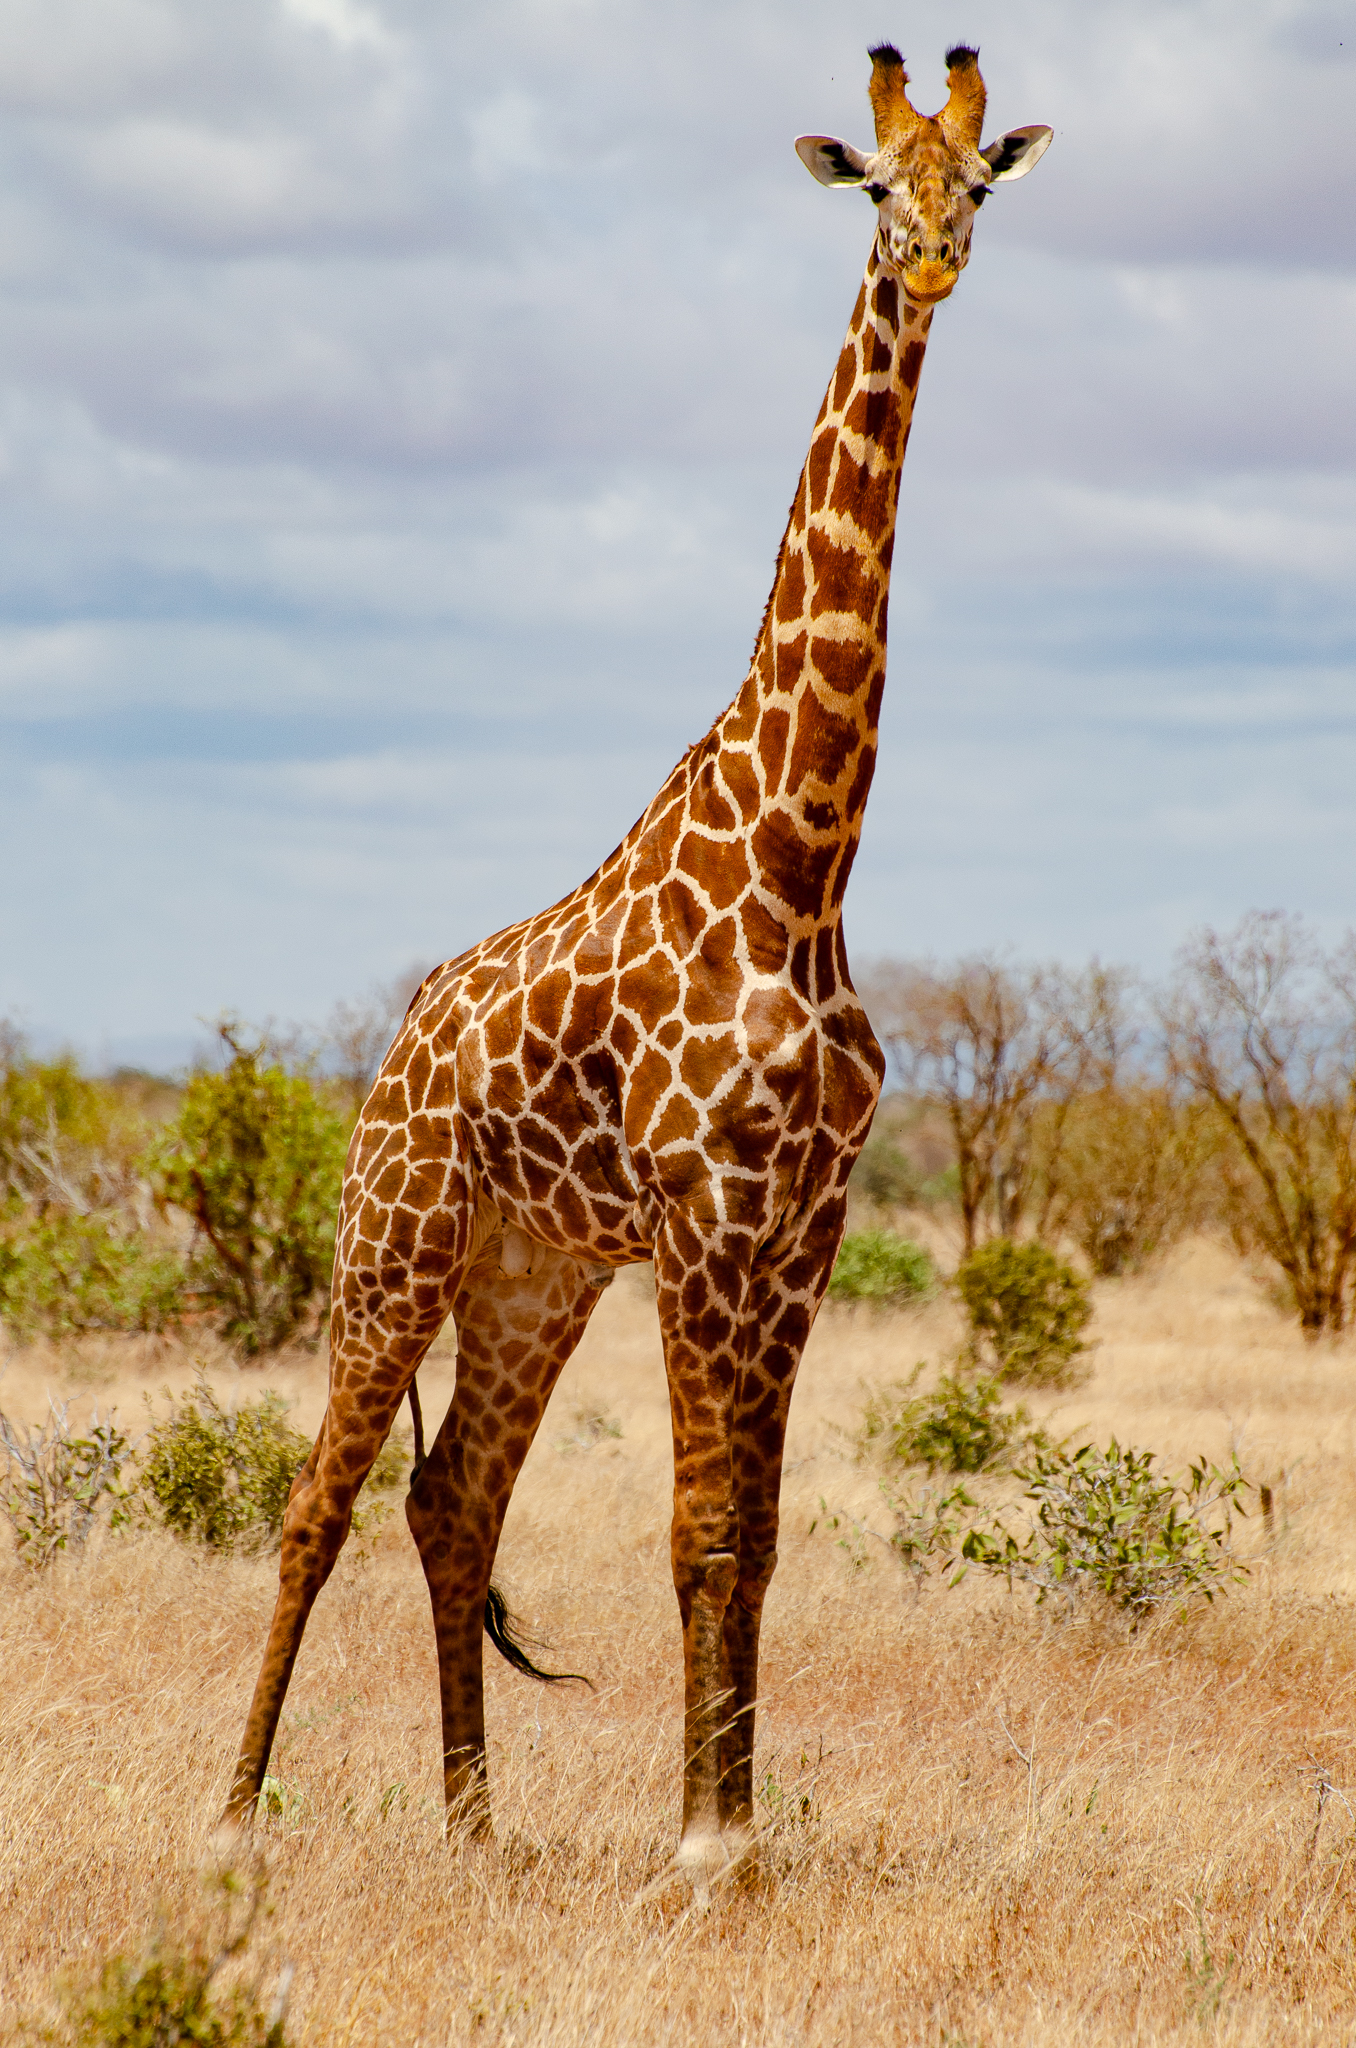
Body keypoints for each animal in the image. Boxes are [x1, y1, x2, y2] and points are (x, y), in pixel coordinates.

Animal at [218, 44, 1051, 1884]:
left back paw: (473, 1825)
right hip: (394, 1242)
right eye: (876, 185)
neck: (803, 855)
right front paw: (703, 1851)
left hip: (533, 1269)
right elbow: (698, 1533)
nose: (937, 262)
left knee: (449, 1497)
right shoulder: (707, 1208)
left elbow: (758, 1532)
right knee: (314, 1503)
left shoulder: (801, 1223)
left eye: (980, 183)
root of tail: (393, 1048)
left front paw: (732, 1830)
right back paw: (232, 1821)